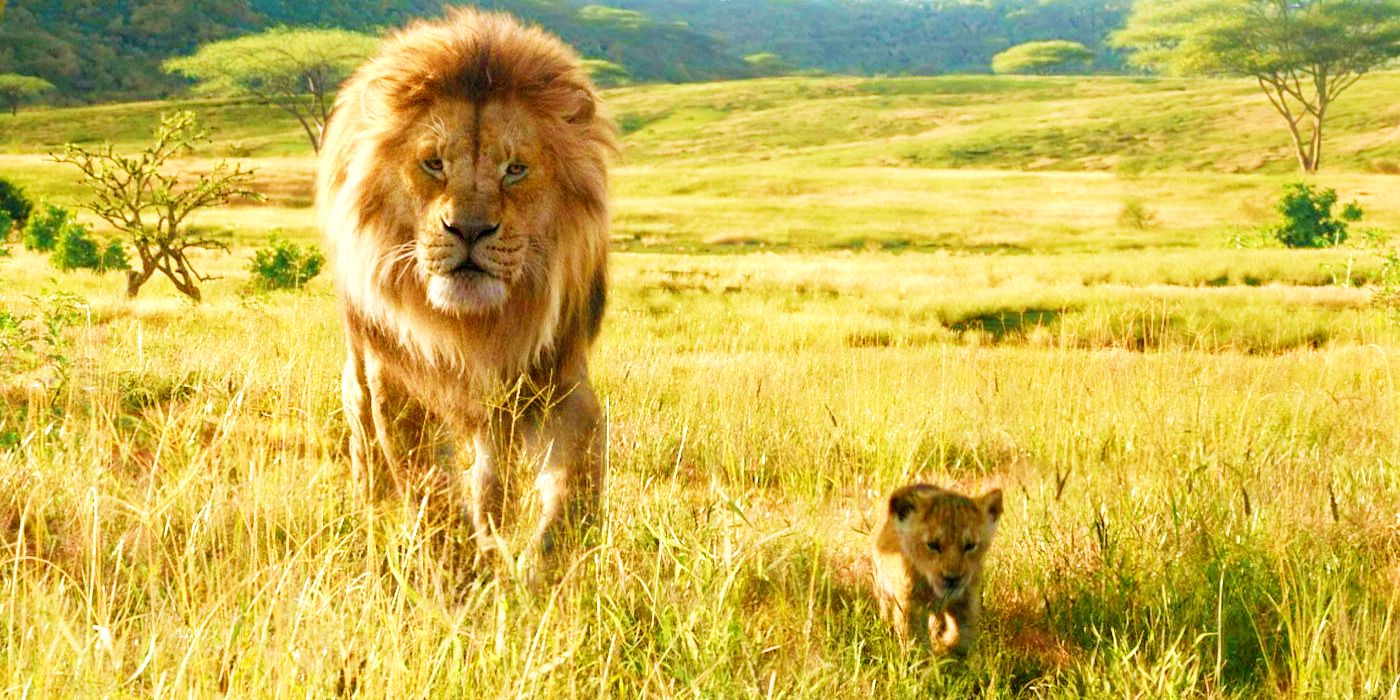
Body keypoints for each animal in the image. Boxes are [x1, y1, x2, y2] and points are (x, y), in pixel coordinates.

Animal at [316, 8, 617, 571]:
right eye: (433, 163)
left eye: (515, 169)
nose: (470, 230)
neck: (477, 328)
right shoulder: (396, 379)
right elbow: (429, 489)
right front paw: (461, 575)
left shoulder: (560, 380)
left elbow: (574, 494)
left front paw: (535, 577)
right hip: (360, 374)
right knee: (367, 447)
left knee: (491, 471)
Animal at [871, 483, 1003, 655]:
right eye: (933, 545)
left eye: (970, 546)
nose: (953, 578)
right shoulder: (909, 603)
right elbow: (915, 640)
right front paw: (923, 657)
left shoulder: (966, 600)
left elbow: (961, 634)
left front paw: (948, 647)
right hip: (881, 584)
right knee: (885, 606)